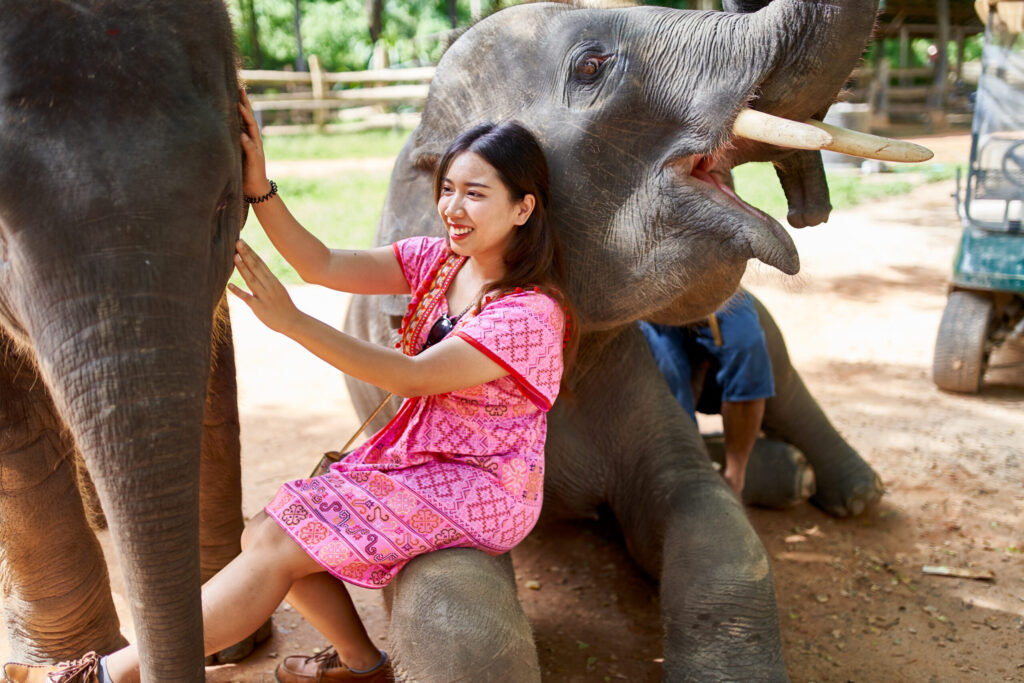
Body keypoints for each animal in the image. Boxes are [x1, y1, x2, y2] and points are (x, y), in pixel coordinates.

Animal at [342, 0, 891, 679]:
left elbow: (711, 522)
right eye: (591, 65)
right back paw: (789, 475)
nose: (805, 212)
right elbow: (450, 594)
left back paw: (853, 494)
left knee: (784, 382)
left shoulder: (633, 373)